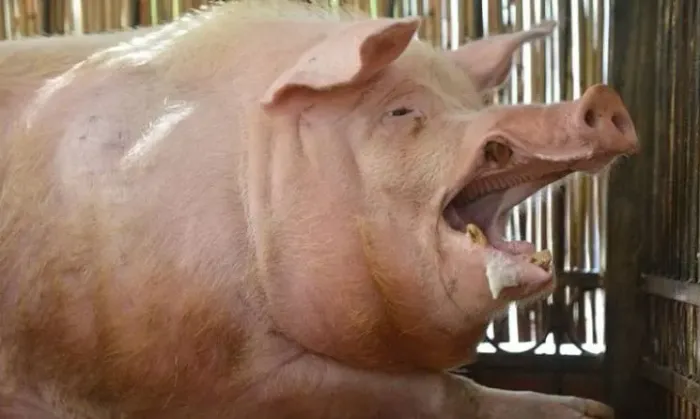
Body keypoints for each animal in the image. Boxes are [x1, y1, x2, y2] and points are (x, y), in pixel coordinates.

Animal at [0, 1, 639, 418]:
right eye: (401, 113)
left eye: (468, 102)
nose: (601, 97)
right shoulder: (201, 375)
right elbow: (441, 392)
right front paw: (590, 412)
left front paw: (589, 409)